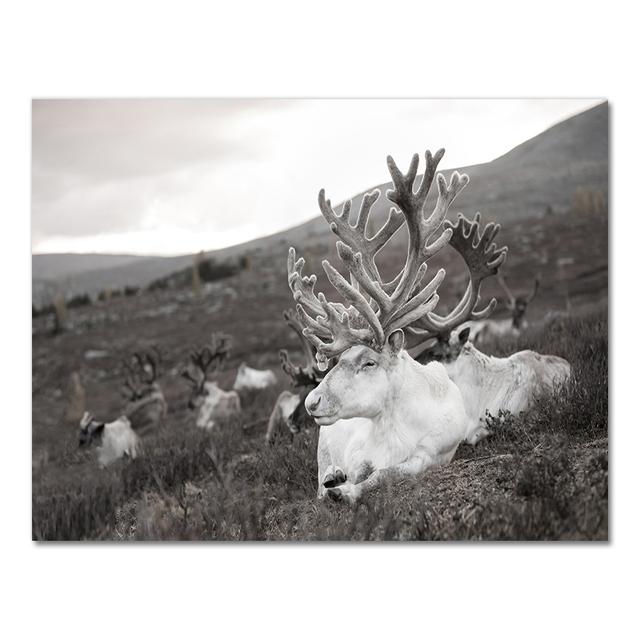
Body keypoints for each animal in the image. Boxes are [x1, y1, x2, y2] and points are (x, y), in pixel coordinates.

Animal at [289, 148, 507, 503]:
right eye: (335, 362)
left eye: (369, 362)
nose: (312, 401)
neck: (394, 422)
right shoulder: (358, 451)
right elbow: (357, 470)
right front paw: (340, 482)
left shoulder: (430, 453)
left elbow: (388, 473)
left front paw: (348, 491)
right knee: (321, 475)